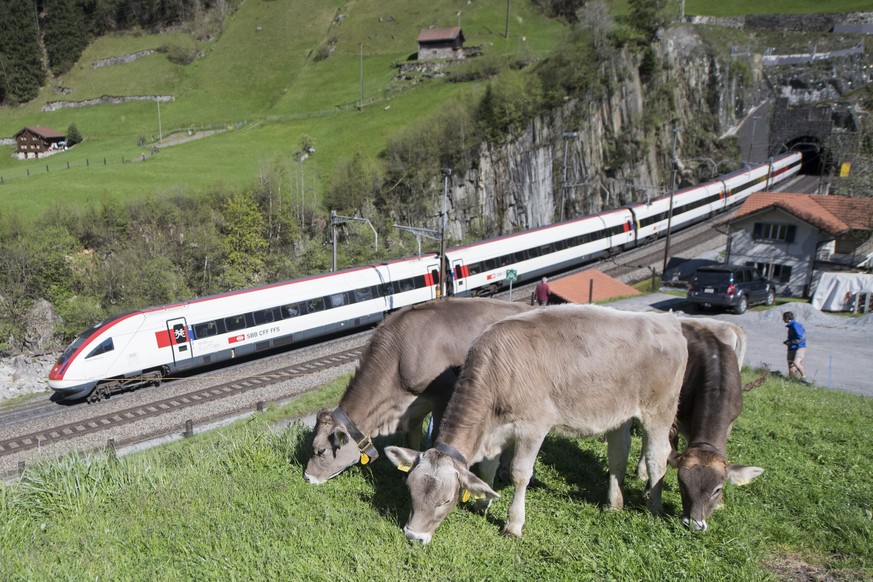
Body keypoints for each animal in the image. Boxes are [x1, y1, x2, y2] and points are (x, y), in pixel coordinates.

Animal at [300, 298, 532, 486]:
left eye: (320, 450)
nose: (307, 477)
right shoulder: (413, 408)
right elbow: (411, 440)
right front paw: (406, 475)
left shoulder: (443, 396)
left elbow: (435, 439)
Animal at [384, 304, 688, 544]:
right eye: (410, 488)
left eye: (446, 500)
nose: (413, 536)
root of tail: (666, 319)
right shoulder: (496, 430)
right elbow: (487, 467)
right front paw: (483, 502)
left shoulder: (533, 427)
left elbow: (520, 473)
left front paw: (513, 525)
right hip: (618, 412)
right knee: (618, 454)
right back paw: (614, 504)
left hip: (660, 409)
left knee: (657, 457)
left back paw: (654, 506)